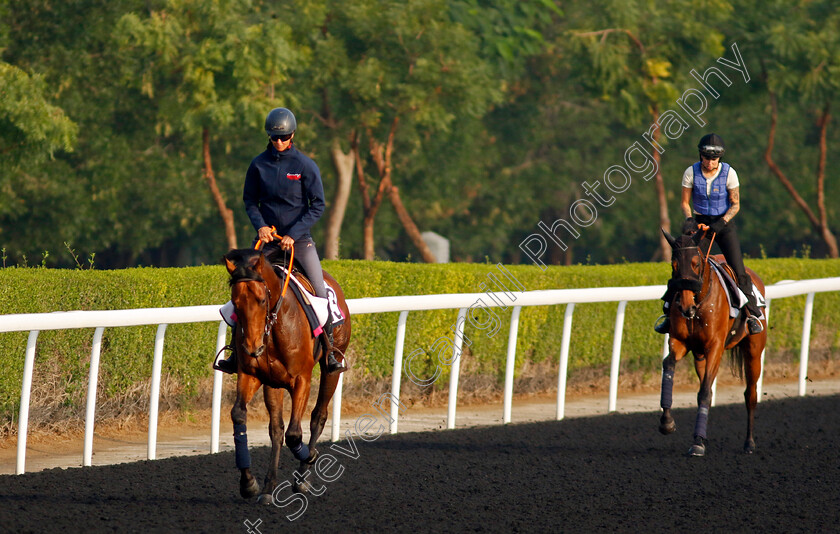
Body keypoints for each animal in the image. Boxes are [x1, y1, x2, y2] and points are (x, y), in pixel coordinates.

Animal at [221, 247, 350, 506]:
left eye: (262, 300)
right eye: (235, 304)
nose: (252, 348)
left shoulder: (302, 379)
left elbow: (294, 434)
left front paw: (309, 457)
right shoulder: (253, 375)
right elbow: (240, 415)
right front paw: (249, 484)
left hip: (332, 366)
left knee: (318, 416)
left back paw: (302, 477)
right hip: (274, 384)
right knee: (276, 429)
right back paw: (269, 487)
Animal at [660, 228, 772, 458]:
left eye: (695, 263)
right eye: (674, 265)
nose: (686, 307)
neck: (699, 303)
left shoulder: (715, 347)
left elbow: (704, 392)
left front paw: (697, 444)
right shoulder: (680, 341)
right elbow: (669, 365)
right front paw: (667, 423)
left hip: (754, 352)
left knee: (750, 394)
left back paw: (749, 443)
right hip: (699, 356)